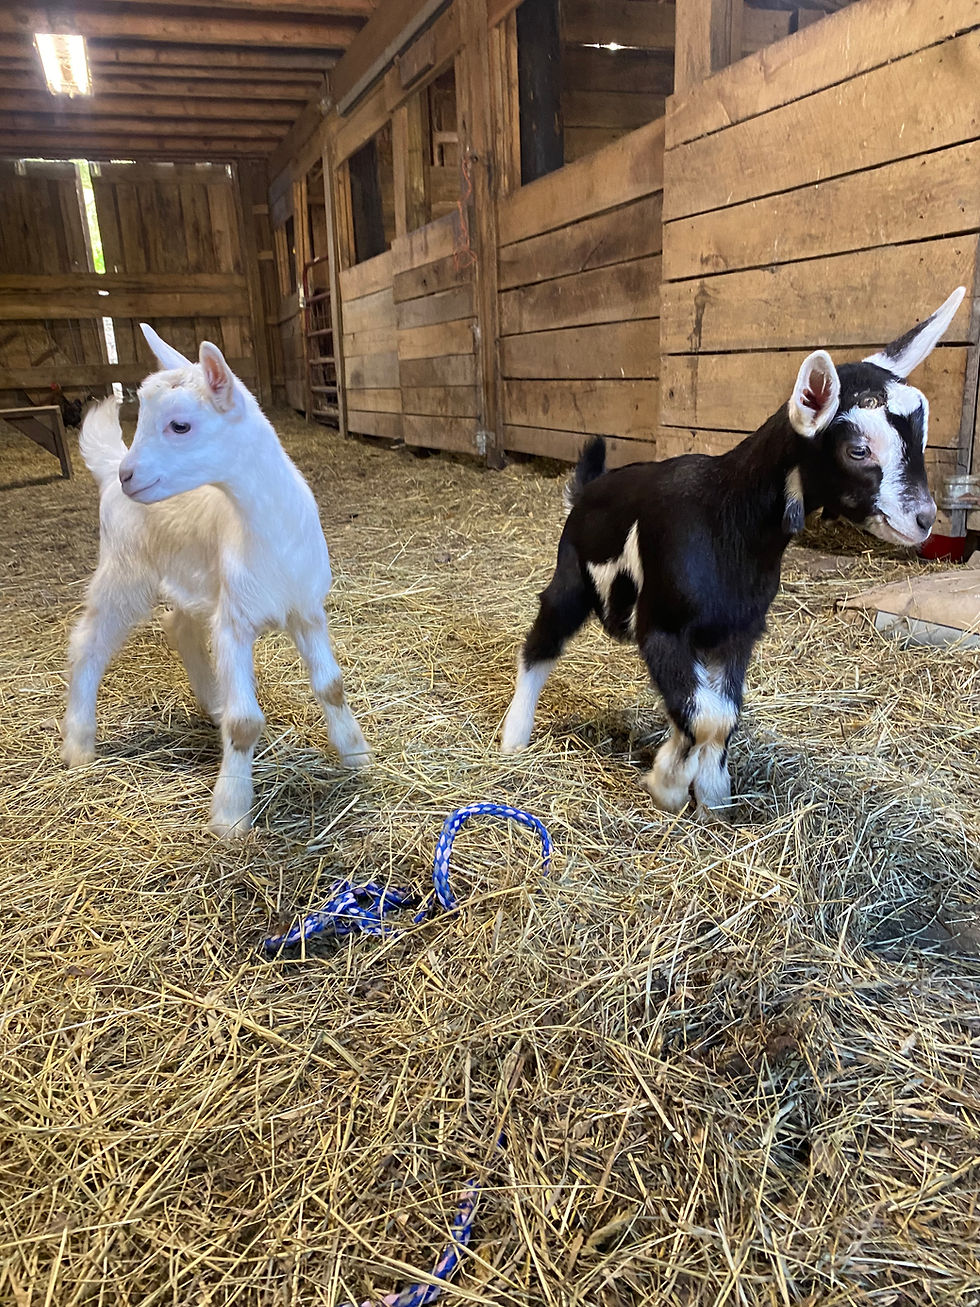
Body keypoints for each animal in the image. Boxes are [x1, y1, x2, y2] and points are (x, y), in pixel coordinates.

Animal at [61, 325, 370, 838]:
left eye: (180, 426)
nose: (130, 475)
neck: (267, 534)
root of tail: (108, 468)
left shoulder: (307, 609)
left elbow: (332, 686)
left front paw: (355, 752)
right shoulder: (234, 621)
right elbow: (246, 723)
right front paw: (231, 813)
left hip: (194, 575)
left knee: (178, 625)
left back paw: (213, 702)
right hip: (125, 568)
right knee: (89, 642)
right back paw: (78, 745)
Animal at [500, 287, 966, 814]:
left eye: (922, 435)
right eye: (858, 449)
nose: (924, 518)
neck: (727, 519)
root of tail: (588, 488)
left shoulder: (739, 632)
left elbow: (720, 716)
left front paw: (713, 794)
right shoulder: (661, 627)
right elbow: (703, 716)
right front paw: (667, 785)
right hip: (571, 577)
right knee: (540, 643)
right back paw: (513, 739)